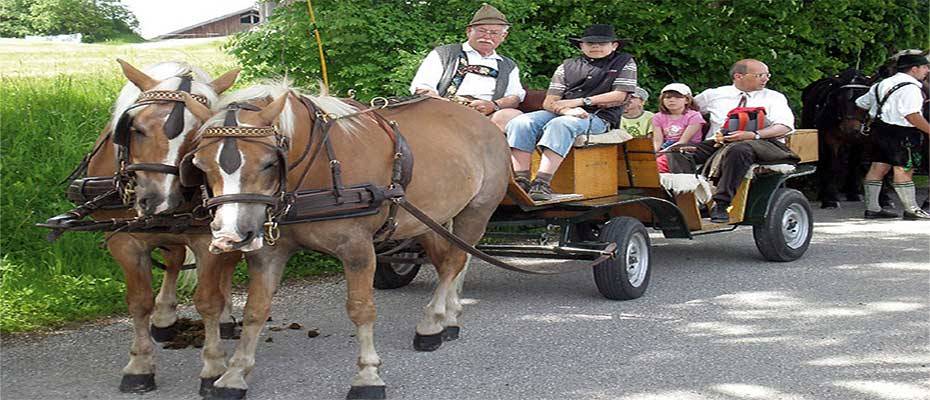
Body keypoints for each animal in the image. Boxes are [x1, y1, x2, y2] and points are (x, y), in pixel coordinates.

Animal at [82, 60, 243, 394]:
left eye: (198, 136)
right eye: (137, 129)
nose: (158, 200)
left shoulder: (207, 239)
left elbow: (208, 300)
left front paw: (213, 366)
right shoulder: (125, 242)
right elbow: (138, 302)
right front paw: (139, 365)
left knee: (224, 267)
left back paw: (223, 318)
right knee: (174, 260)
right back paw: (165, 317)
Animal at [178, 83, 512, 398]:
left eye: (269, 163)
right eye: (201, 165)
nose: (230, 235)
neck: (318, 170)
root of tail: (479, 117)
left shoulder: (357, 249)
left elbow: (361, 309)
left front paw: (367, 375)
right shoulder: (270, 253)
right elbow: (255, 310)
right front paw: (234, 374)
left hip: (476, 211)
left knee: (456, 260)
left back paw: (432, 322)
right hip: (426, 219)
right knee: (448, 264)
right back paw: (448, 318)